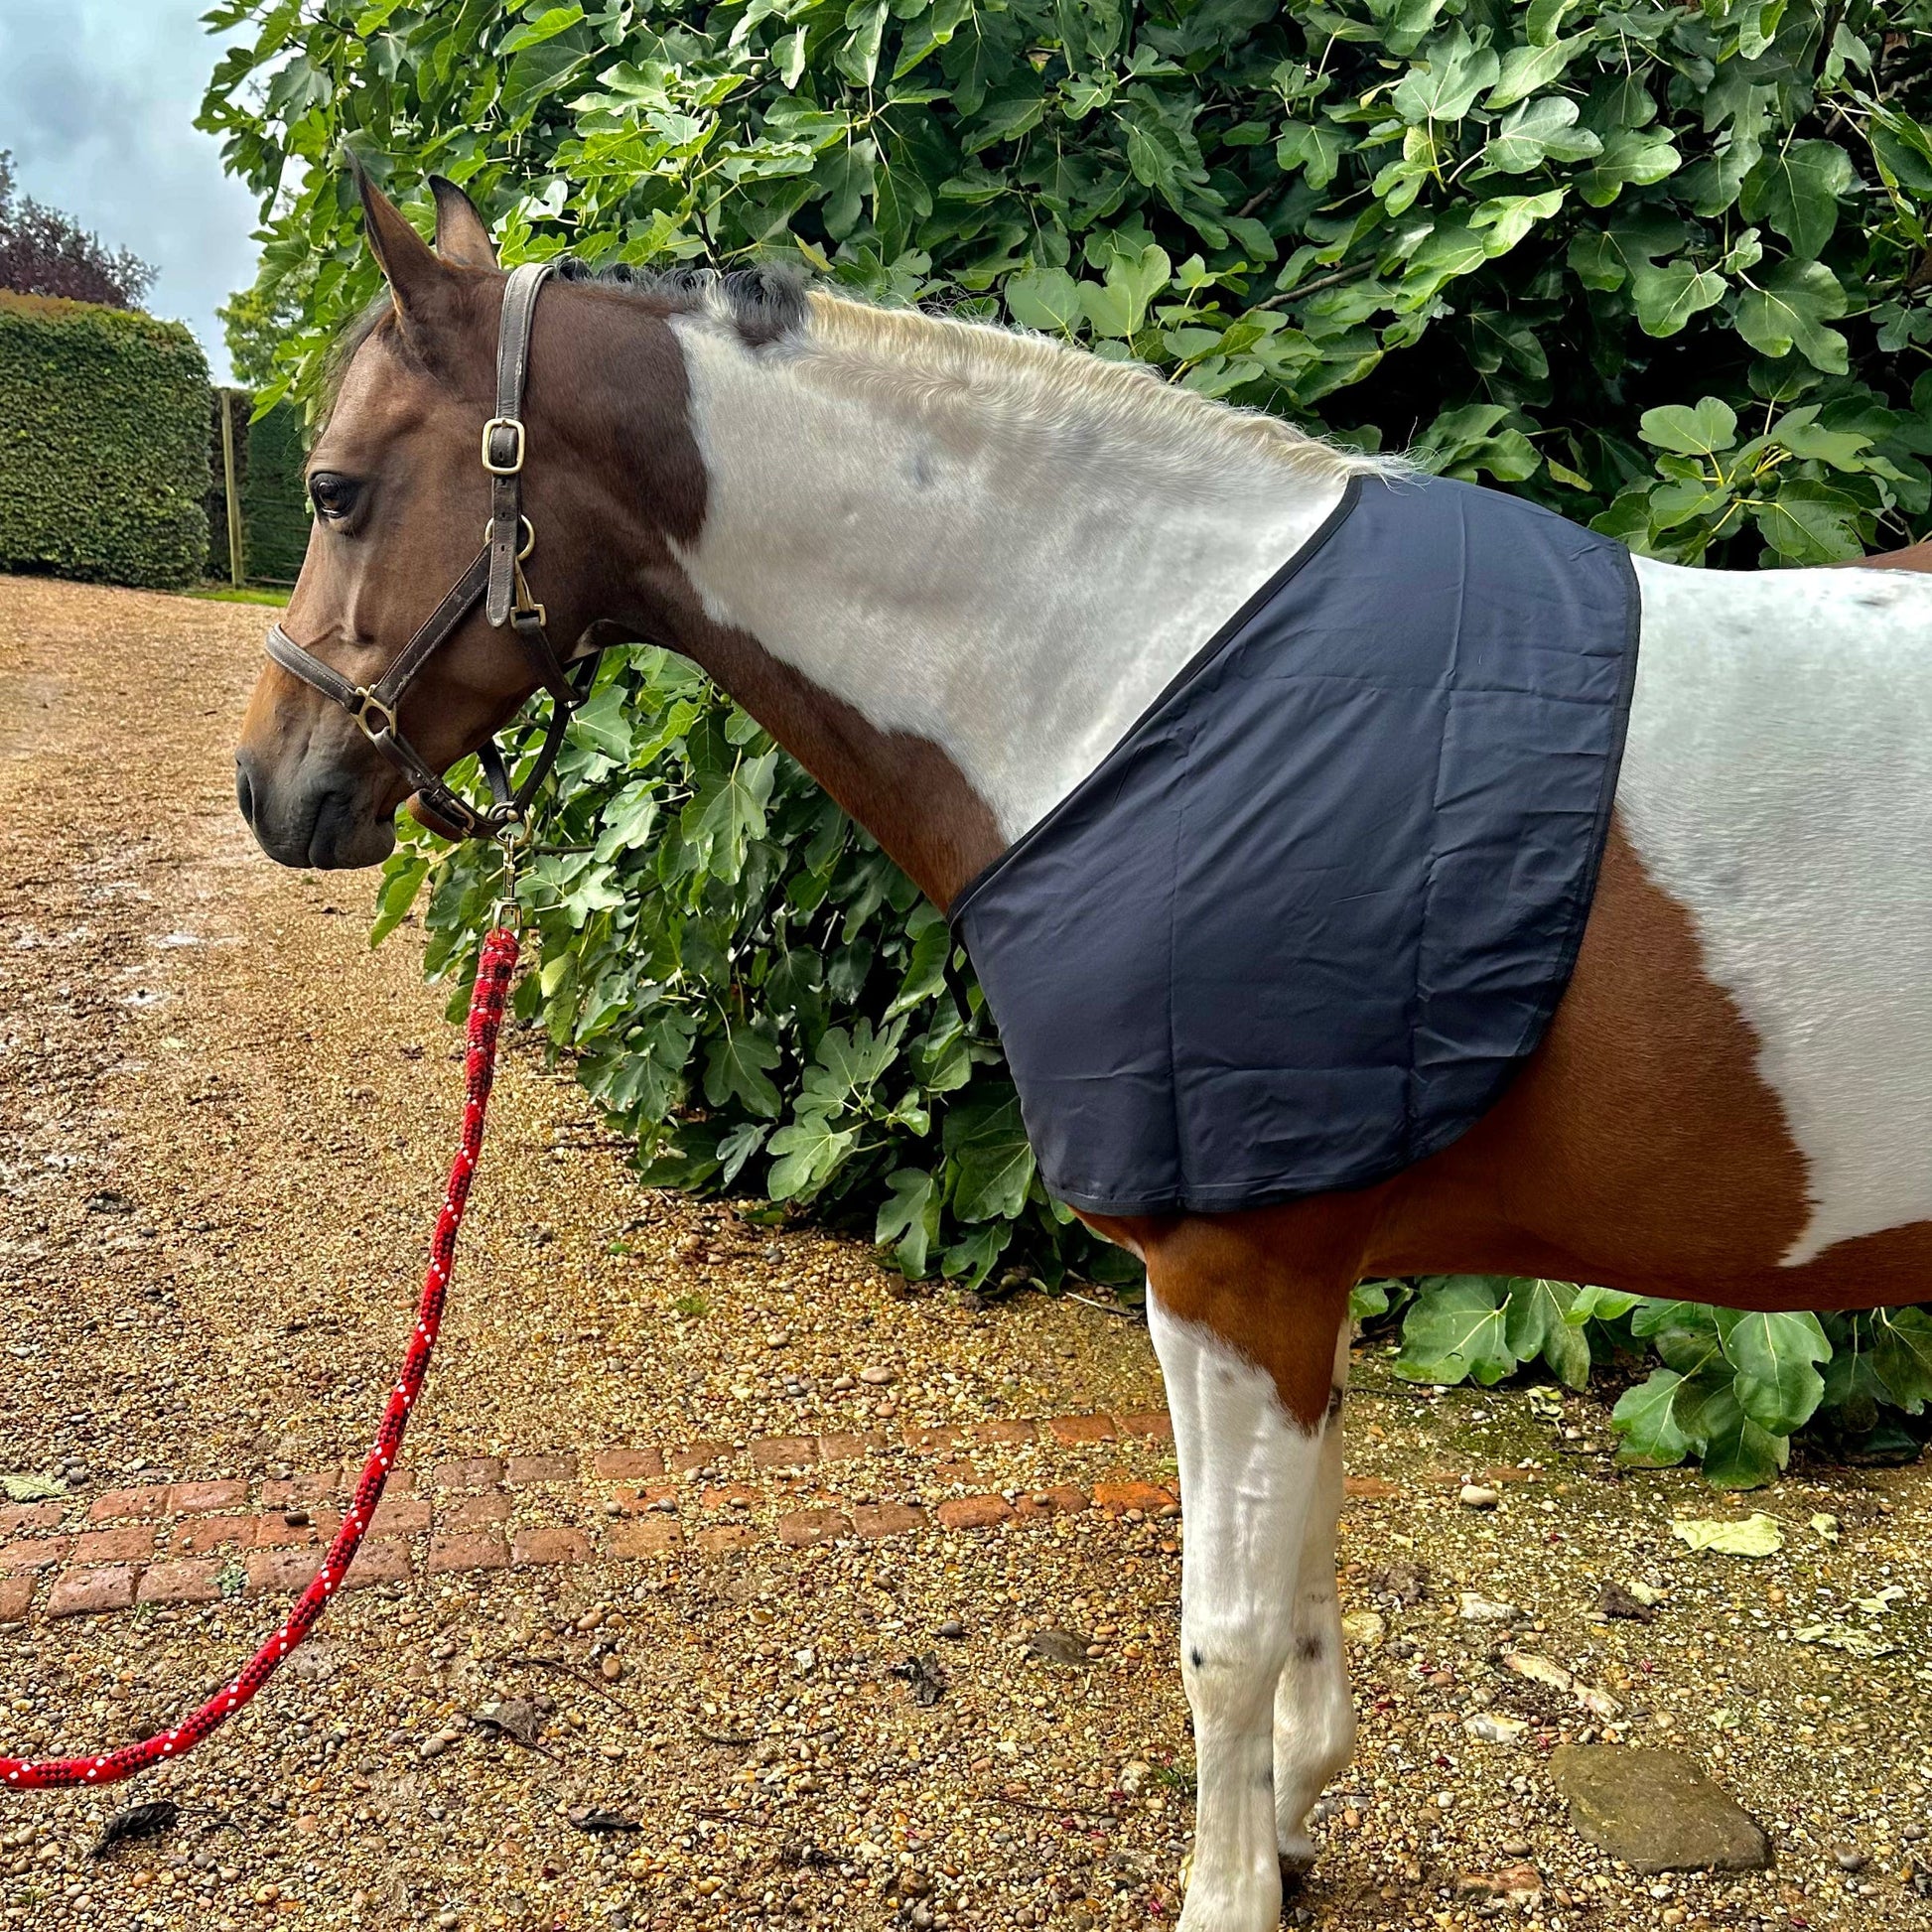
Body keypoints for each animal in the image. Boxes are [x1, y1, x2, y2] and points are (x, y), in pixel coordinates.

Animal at [236, 170, 1932, 1932]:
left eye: (336, 488)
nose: (270, 785)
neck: (1138, 687)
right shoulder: (1291, 1275)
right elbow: (1299, 1579)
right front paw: (1292, 1824)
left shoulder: (1236, 1269)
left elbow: (1224, 1634)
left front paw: (1228, 1890)